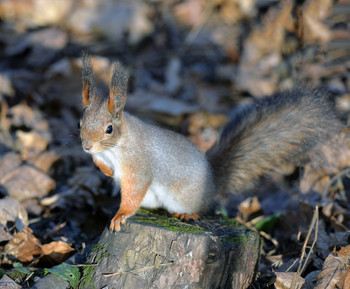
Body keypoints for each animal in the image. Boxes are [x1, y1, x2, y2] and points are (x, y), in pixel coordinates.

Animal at [78, 53, 342, 230]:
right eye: (80, 123)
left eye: (109, 129)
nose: (86, 146)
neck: (114, 148)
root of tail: (213, 184)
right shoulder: (100, 155)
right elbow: (101, 165)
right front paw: (107, 172)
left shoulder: (137, 167)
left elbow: (133, 193)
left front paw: (121, 215)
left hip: (185, 196)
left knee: (198, 209)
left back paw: (188, 215)